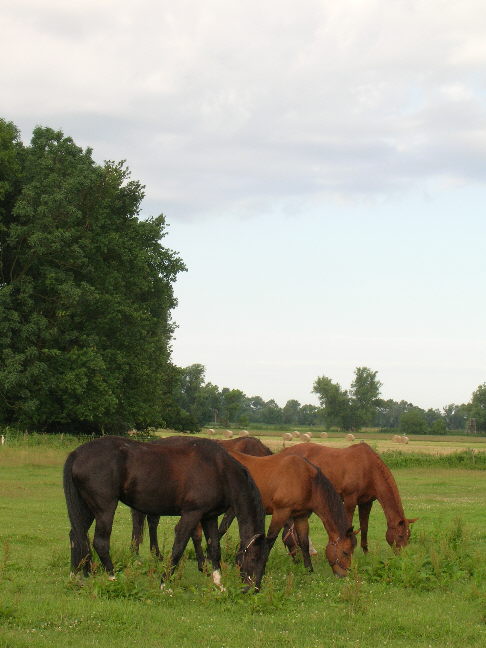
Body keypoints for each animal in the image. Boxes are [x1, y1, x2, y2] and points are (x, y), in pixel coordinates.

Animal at [63, 436, 268, 592]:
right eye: (254, 558)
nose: (253, 589)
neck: (218, 469)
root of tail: (77, 454)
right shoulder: (192, 514)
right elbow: (179, 547)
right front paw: (165, 584)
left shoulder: (209, 516)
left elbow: (214, 548)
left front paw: (219, 584)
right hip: (105, 508)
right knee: (100, 542)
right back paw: (112, 578)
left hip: (87, 509)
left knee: (76, 536)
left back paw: (76, 576)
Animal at [220, 448, 356, 576]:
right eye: (345, 552)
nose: (343, 575)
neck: (306, 480)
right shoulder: (281, 513)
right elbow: (269, 542)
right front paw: (260, 570)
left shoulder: (301, 517)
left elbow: (304, 543)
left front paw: (309, 570)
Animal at [278, 442, 418, 556]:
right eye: (400, 535)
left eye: (408, 536)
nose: (402, 555)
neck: (368, 467)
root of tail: (285, 452)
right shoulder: (350, 501)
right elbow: (349, 524)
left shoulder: (366, 503)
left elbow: (364, 526)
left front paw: (366, 552)